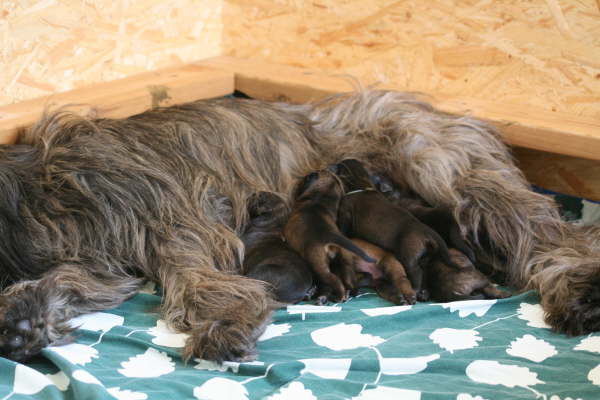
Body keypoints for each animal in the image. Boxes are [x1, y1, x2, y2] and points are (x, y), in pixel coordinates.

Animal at [282, 167, 376, 302]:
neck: (321, 196)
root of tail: (330, 235)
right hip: (346, 261)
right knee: (349, 280)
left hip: (319, 266)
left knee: (335, 280)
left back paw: (339, 297)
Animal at [338, 159, 460, 300]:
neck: (362, 186)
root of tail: (428, 232)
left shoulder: (345, 212)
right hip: (424, 257)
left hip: (408, 258)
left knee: (416, 274)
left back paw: (415, 290)